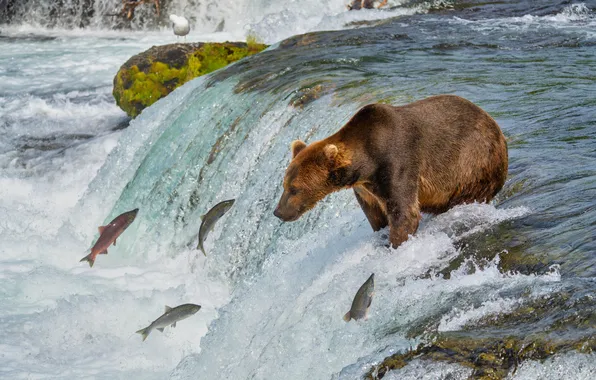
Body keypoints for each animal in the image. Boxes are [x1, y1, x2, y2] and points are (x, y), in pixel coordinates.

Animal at [272, 94, 510, 248]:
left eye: (294, 189)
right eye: (284, 185)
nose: (278, 212)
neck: (365, 163)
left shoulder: (397, 162)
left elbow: (404, 212)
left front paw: (395, 243)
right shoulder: (365, 190)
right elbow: (376, 216)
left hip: (473, 161)